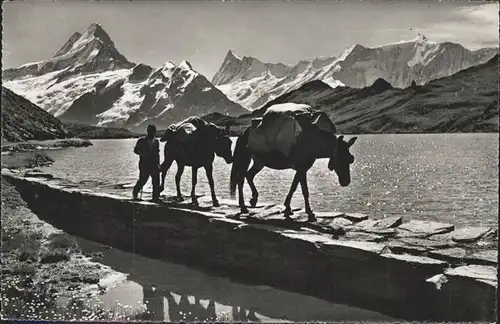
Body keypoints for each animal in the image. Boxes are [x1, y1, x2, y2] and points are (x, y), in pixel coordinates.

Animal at [229, 105, 358, 221]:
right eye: (341, 158)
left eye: (351, 159)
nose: (346, 181)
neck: (316, 144)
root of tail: (243, 133)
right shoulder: (301, 168)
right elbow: (304, 191)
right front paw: (309, 213)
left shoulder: (301, 168)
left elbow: (294, 187)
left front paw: (288, 208)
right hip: (246, 159)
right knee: (240, 180)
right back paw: (243, 207)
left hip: (259, 162)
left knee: (249, 175)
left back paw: (253, 199)